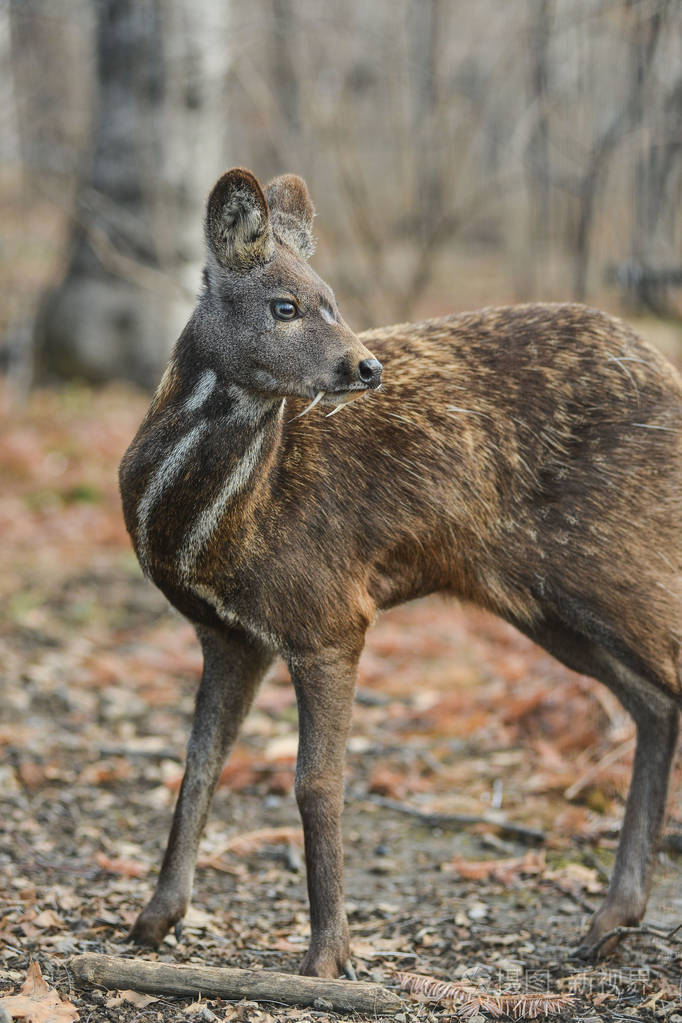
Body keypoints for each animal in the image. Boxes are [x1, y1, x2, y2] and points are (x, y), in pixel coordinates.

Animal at [120, 165, 678, 973]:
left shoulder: (329, 614)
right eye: (285, 305)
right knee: (655, 703)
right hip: (545, 601)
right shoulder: (230, 634)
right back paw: (609, 919)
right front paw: (154, 920)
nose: (365, 365)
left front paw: (330, 956)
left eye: (332, 299)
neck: (215, 526)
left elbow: (316, 783)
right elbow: (197, 766)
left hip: (620, 557)